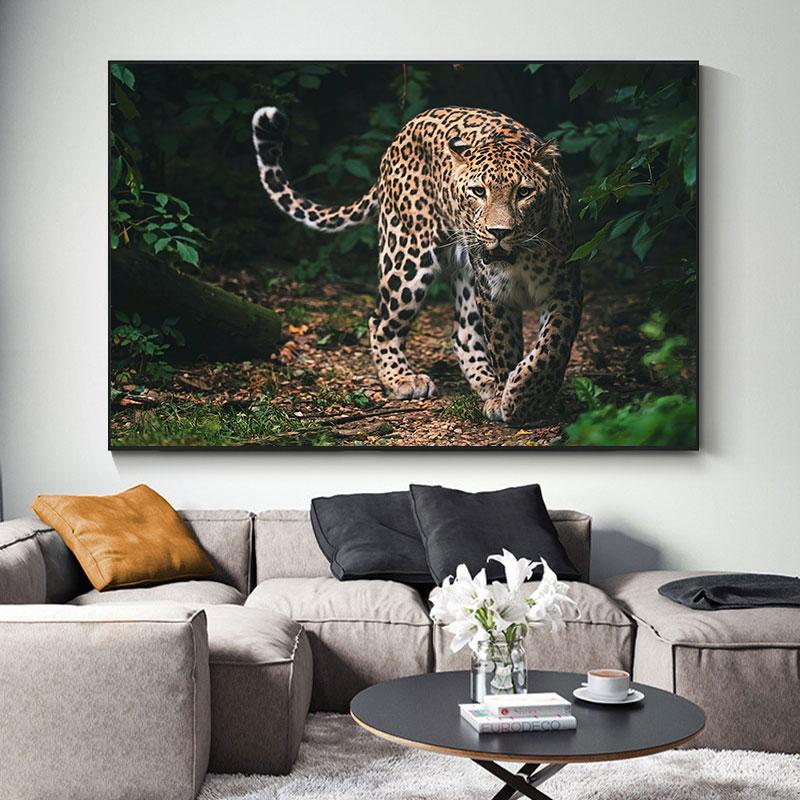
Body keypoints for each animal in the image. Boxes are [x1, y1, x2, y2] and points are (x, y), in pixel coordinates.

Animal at [251, 105, 582, 424]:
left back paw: (485, 384)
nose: (499, 232)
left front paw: (523, 397)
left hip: (464, 273)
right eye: (479, 191)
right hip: (407, 257)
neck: (520, 258)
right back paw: (403, 379)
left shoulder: (565, 289)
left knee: (463, 332)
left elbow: (551, 348)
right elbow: (505, 347)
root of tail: (405, 129)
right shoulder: (493, 295)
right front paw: (511, 399)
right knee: (380, 321)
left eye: (524, 192)